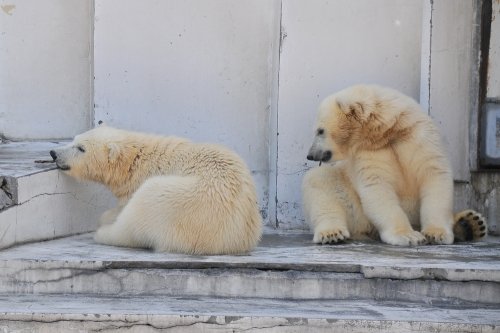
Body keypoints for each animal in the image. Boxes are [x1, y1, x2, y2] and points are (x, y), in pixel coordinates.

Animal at [49, 125, 264, 254]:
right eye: (74, 139)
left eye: (81, 148)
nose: (53, 153)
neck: (137, 160)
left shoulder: (141, 181)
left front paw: (108, 217)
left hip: (176, 201)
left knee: (137, 218)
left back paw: (104, 232)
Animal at [302, 85, 486, 246]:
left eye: (320, 131)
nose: (310, 155)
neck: (390, 131)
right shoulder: (369, 152)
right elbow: (377, 186)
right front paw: (409, 236)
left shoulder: (421, 138)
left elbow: (433, 175)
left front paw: (436, 234)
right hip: (354, 203)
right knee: (319, 181)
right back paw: (332, 233)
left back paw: (470, 224)